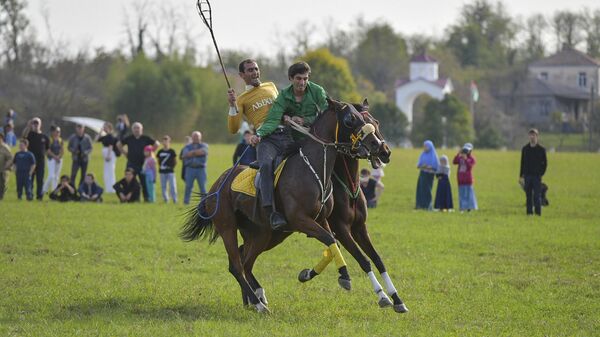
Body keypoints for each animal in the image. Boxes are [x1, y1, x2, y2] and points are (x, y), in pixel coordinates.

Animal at [179, 98, 384, 312]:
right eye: (350, 119)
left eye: (371, 121)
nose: (378, 146)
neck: (313, 169)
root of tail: (215, 188)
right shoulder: (304, 220)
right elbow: (336, 243)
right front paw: (349, 278)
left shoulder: (323, 220)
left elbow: (332, 243)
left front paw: (331, 275)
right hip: (228, 227)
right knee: (237, 265)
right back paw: (258, 304)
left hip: (262, 234)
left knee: (246, 262)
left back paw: (255, 299)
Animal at [298, 100, 410, 312]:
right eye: (354, 122)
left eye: (376, 122)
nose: (385, 151)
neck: (349, 186)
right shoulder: (341, 229)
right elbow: (363, 260)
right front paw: (382, 296)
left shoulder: (359, 228)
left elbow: (377, 259)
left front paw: (397, 298)